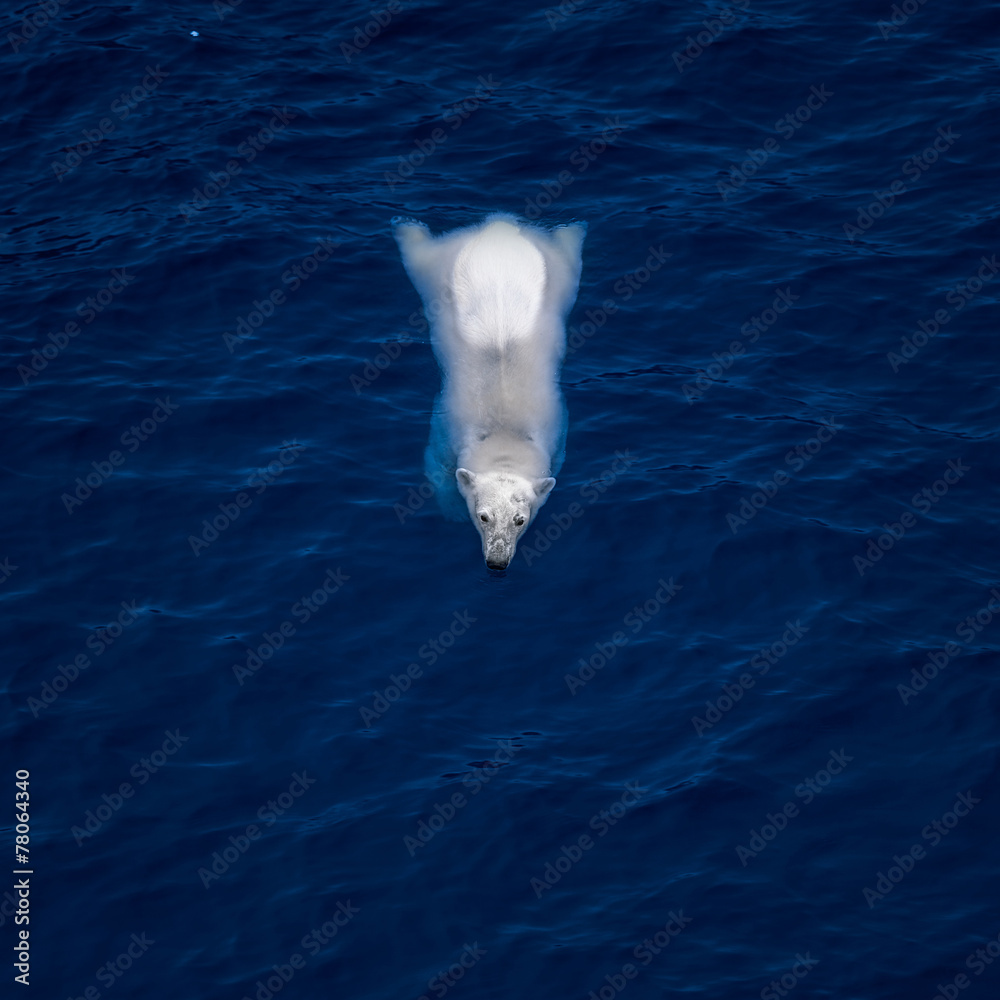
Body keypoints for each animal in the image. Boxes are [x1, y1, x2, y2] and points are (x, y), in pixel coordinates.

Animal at [393, 212, 586, 570]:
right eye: (483, 516)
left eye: (520, 519)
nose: (497, 562)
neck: (503, 428)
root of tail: (499, 227)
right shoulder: (445, 428)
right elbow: (436, 466)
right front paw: (452, 510)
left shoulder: (557, 430)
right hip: (440, 266)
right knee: (418, 254)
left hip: (558, 272)